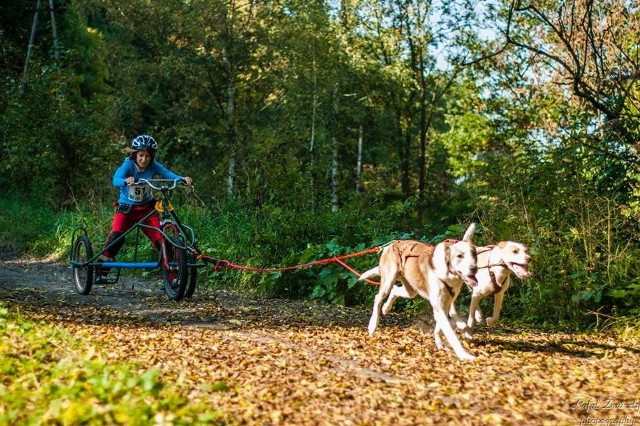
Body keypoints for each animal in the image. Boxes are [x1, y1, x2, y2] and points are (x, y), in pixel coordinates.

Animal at [360, 225, 480, 362]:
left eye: (474, 254)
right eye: (460, 256)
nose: (474, 268)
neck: (446, 273)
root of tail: (390, 245)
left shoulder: (444, 306)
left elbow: (439, 328)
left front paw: (439, 343)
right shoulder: (439, 307)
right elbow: (451, 334)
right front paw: (463, 354)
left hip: (410, 290)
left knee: (395, 290)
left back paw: (386, 308)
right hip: (388, 281)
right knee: (378, 298)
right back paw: (373, 324)